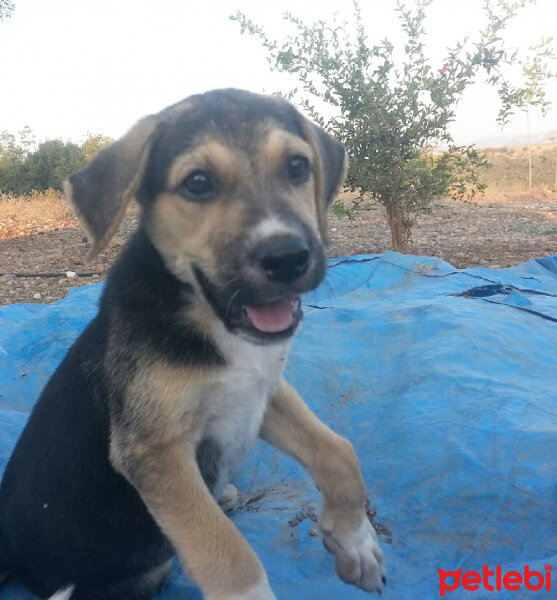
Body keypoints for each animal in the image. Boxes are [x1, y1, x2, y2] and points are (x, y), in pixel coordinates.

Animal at [0, 89, 384, 600]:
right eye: (198, 183)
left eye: (298, 166)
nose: (287, 258)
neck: (214, 323)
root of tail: (11, 550)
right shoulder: (155, 449)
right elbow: (226, 554)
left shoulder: (262, 391)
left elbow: (339, 452)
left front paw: (356, 542)